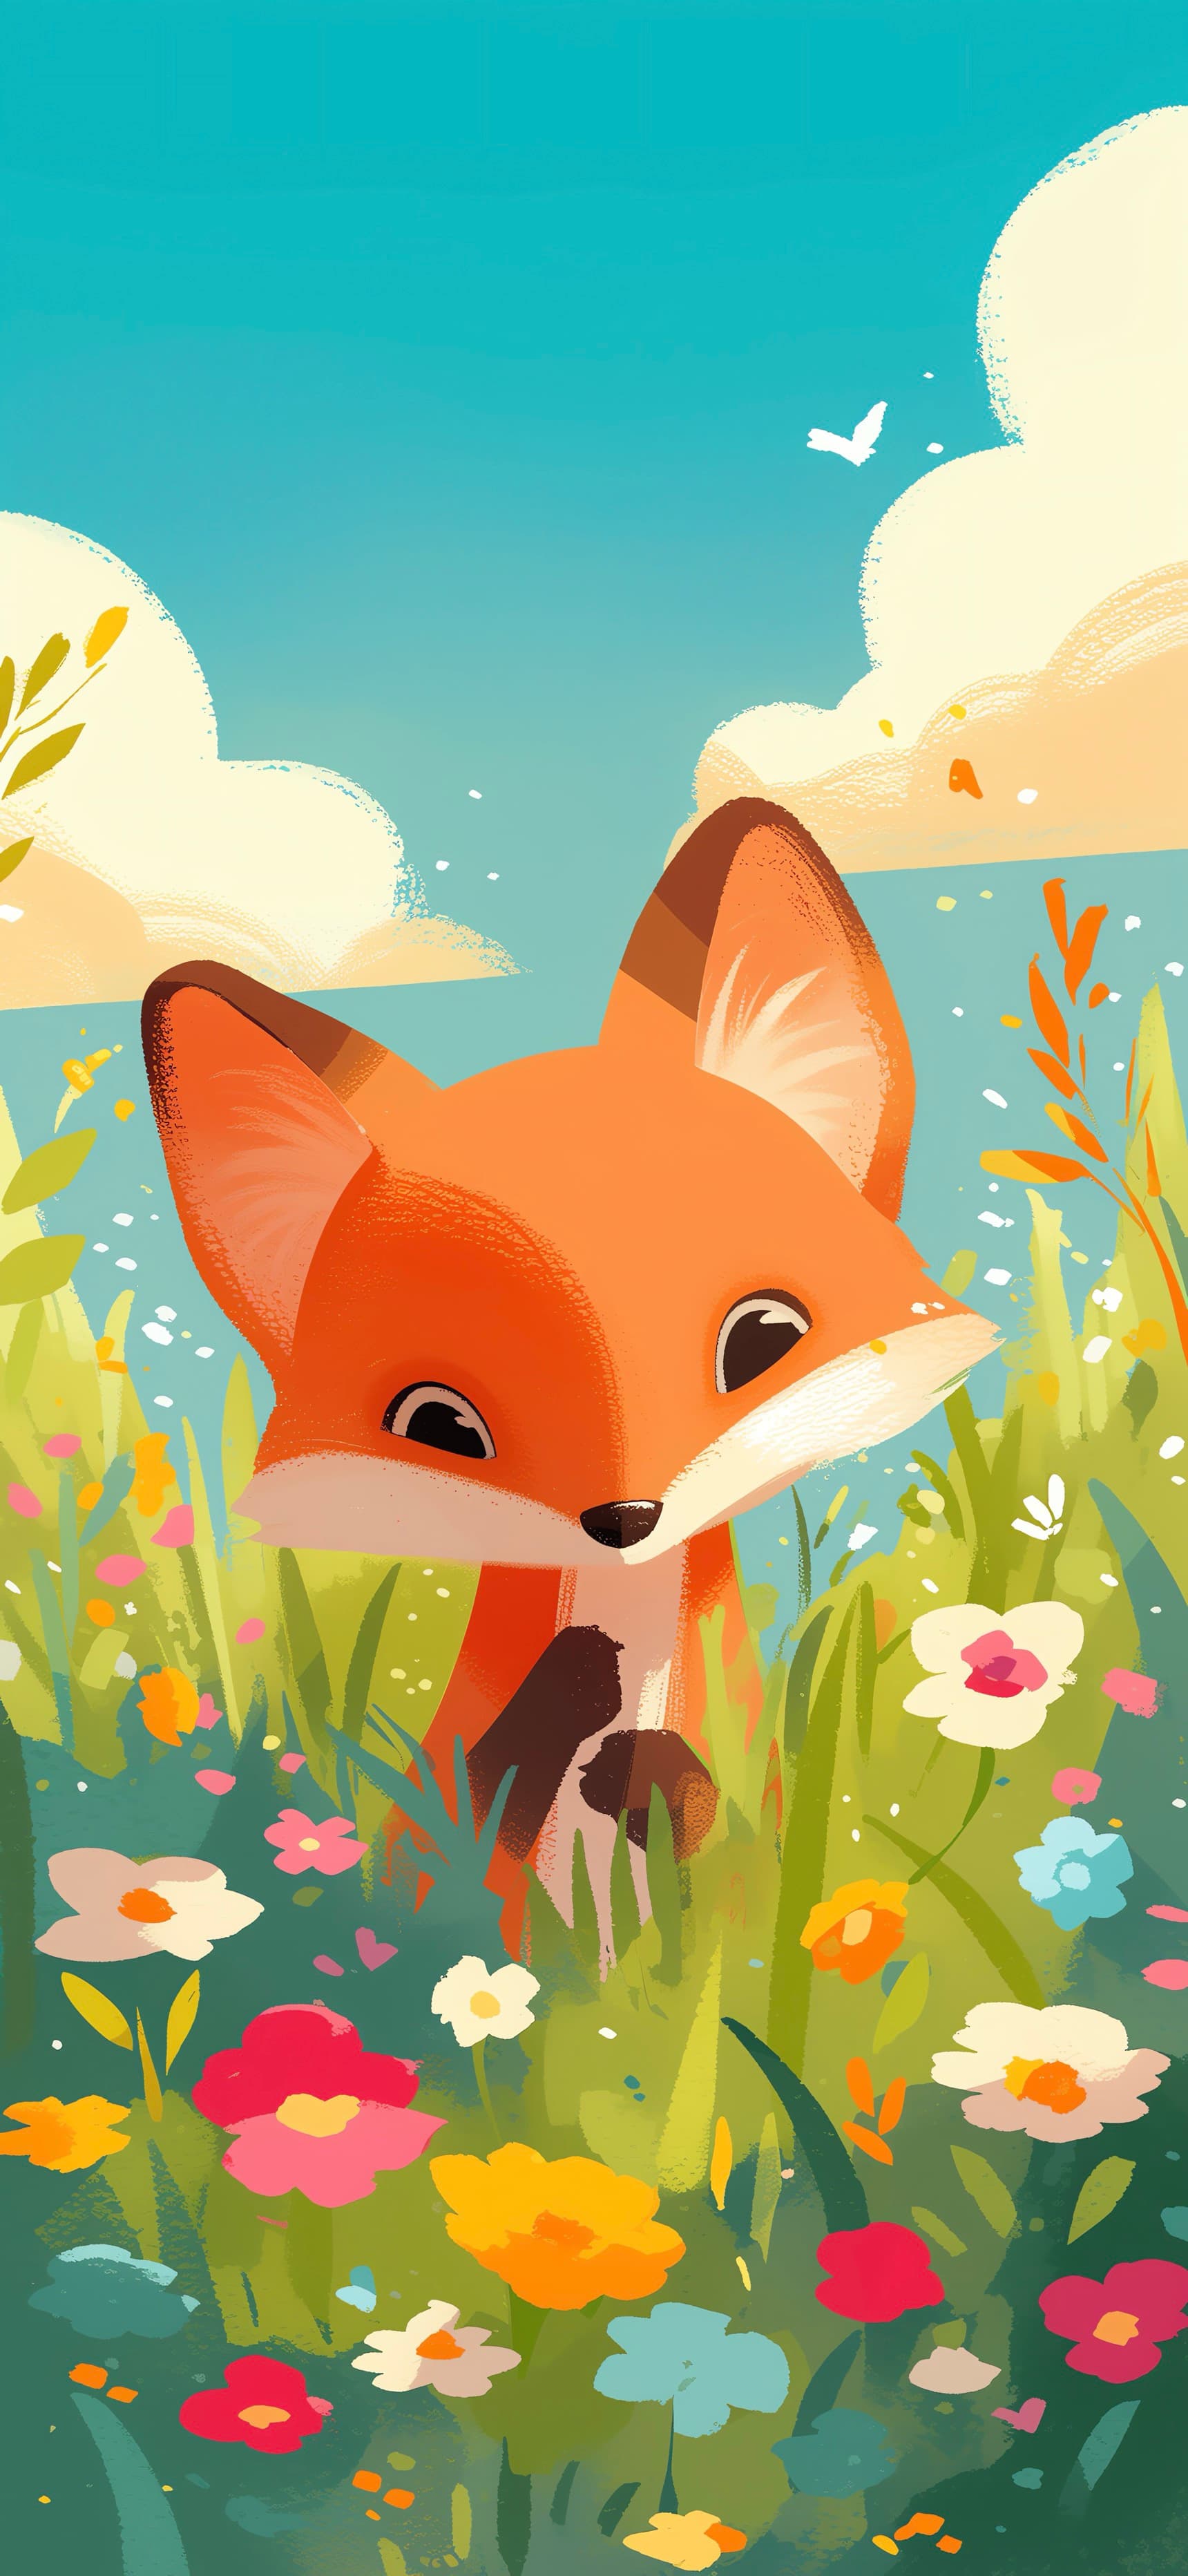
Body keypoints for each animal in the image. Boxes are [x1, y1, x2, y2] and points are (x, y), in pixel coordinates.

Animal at [143, 796, 996, 1938]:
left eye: (763, 1339)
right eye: (440, 1425)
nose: (624, 1519)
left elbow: (718, 1871)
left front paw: (651, 1782)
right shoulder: (435, 1856)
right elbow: (474, 1827)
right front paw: (577, 1695)